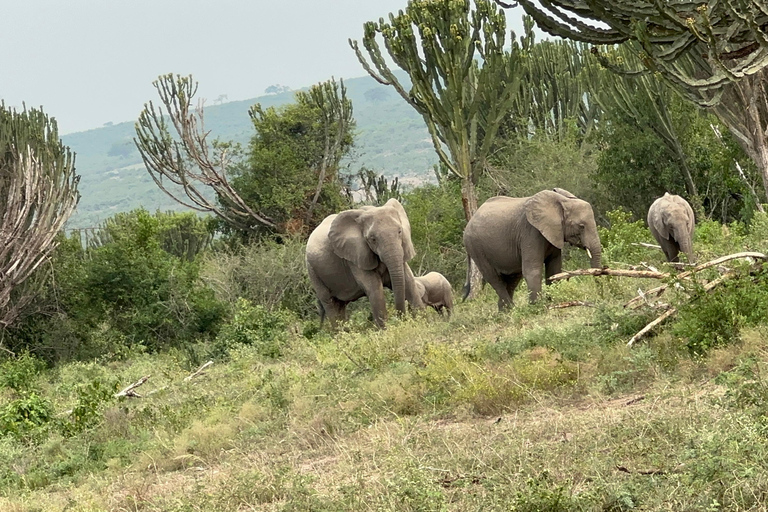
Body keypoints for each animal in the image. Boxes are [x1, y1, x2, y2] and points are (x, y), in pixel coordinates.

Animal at [304, 198, 424, 330]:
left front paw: (422, 322)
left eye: (399, 231)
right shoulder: (354, 257)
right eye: (372, 239)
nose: (401, 319)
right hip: (312, 271)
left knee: (340, 305)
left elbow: (409, 281)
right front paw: (385, 330)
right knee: (329, 302)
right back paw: (340, 334)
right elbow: (374, 288)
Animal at [462, 188, 608, 308]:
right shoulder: (530, 232)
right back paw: (512, 310)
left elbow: (554, 269)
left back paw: (504, 312)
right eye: (581, 226)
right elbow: (533, 270)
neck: (562, 202)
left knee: (513, 278)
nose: (600, 299)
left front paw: (553, 301)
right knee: (494, 278)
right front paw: (537, 308)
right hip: (475, 247)